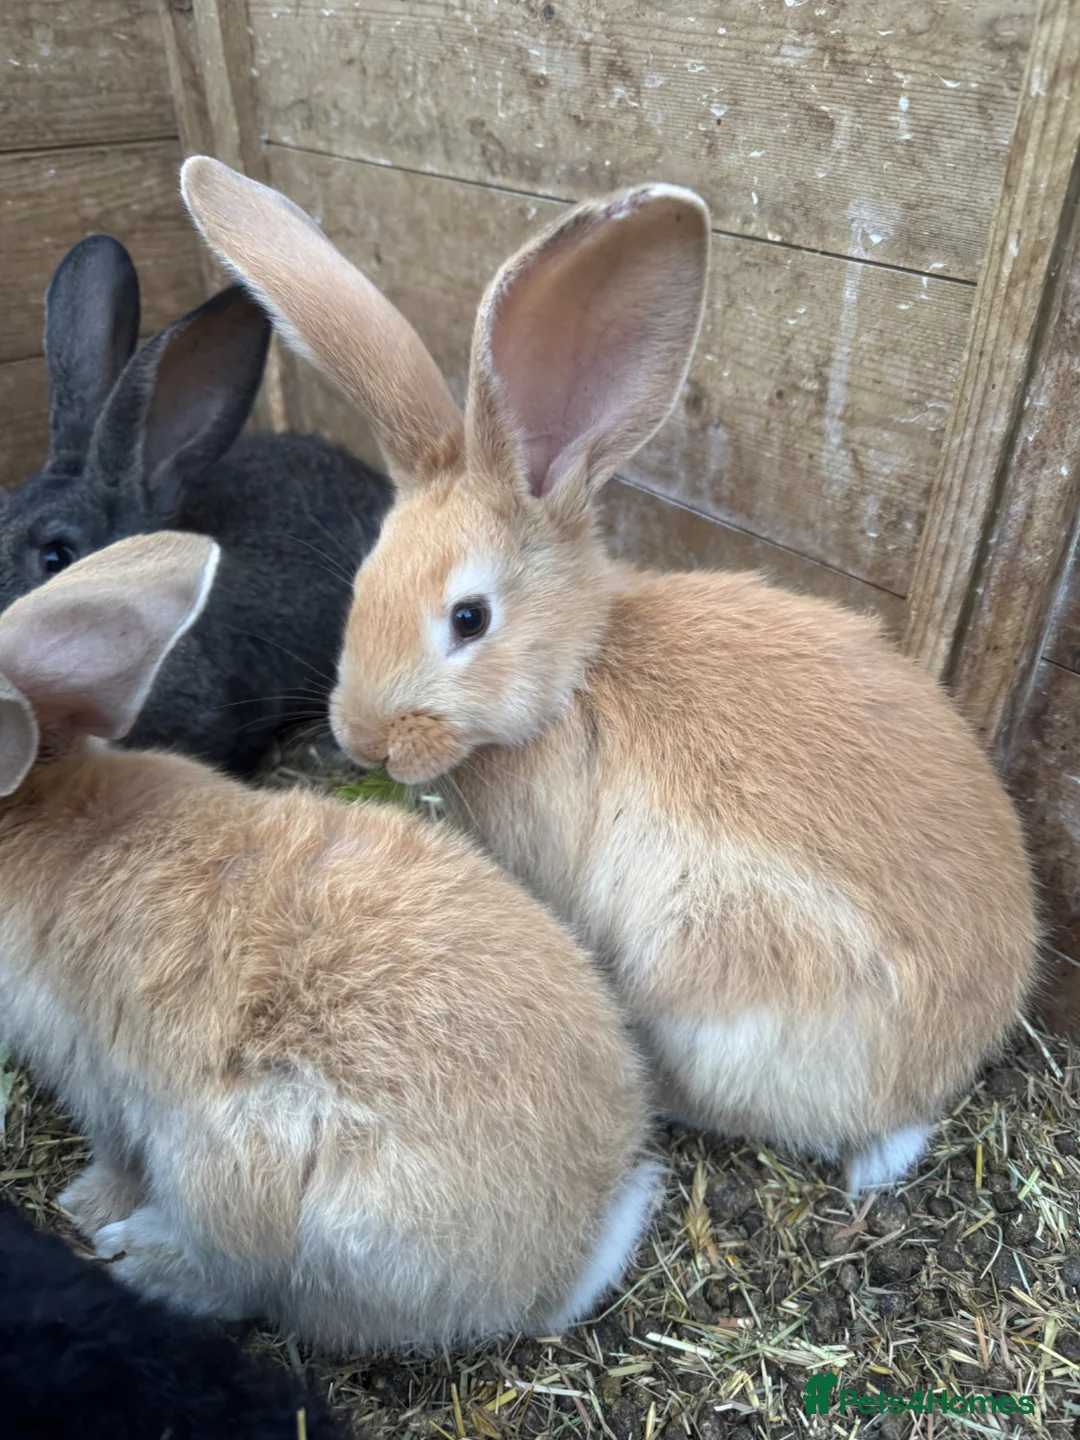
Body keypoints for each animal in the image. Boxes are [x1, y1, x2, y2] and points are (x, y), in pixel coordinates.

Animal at [0, 530, 657, 1350]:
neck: (39, 809)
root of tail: (568, 1263)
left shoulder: (95, 1079)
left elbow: (117, 1157)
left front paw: (84, 1204)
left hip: (242, 1182)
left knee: (239, 1285)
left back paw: (135, 1256)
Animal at [179, 156, 1041, 1193]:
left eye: (469, 619)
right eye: (361, 582)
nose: (363, 741)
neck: (579, 676)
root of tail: (939, 1075)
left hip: (714, 967)